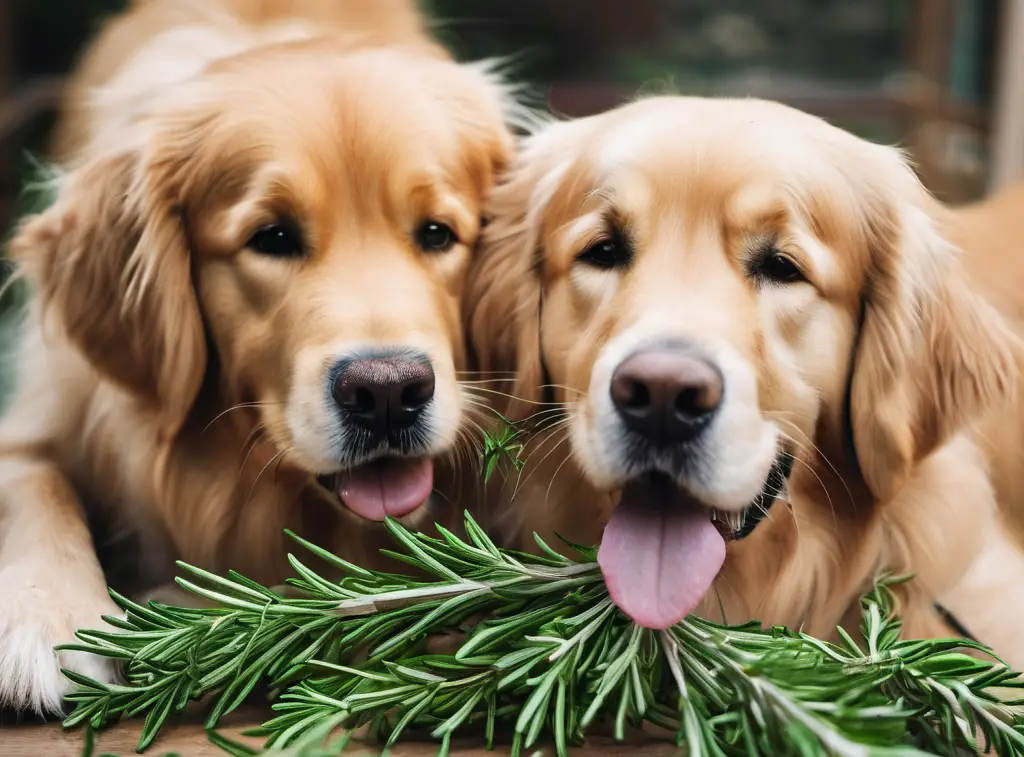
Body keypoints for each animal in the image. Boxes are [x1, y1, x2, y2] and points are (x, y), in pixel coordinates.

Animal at [0, 0, 512, 708]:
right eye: (272, 237)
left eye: (438, 233)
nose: (387, 392)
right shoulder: (50, 403)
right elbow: (34, 485)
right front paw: (52, 623)